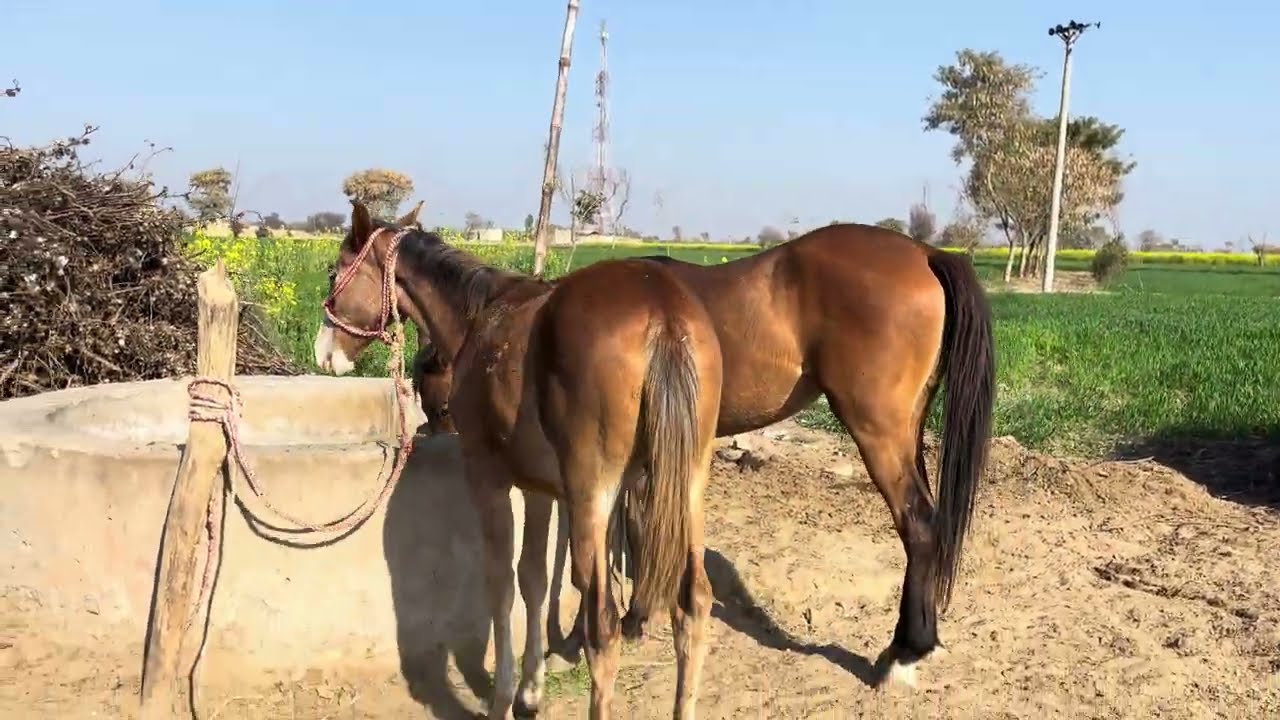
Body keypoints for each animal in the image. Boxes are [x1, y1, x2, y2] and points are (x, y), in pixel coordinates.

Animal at [315, 201, 725, 719]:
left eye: (335, 272)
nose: (324, 352)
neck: (481, 314)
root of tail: (662, 312)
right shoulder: (538, 489)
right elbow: (533, 579)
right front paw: (531, 691)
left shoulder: (487, 478)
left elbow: (502, 582)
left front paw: (504, 697)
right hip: (685, 489)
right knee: (693, 606)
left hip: (596, 500)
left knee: (603, 629)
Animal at [341, 218, 998, 691]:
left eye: (338, 272)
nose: (330, 352)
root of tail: (924, 253)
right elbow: (627, 539)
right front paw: (628, 617)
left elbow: (611, 545)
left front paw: (607, 628)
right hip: (906, 431)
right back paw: (915, 643)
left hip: (877, 431)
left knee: (918, 526)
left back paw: (902, 656)